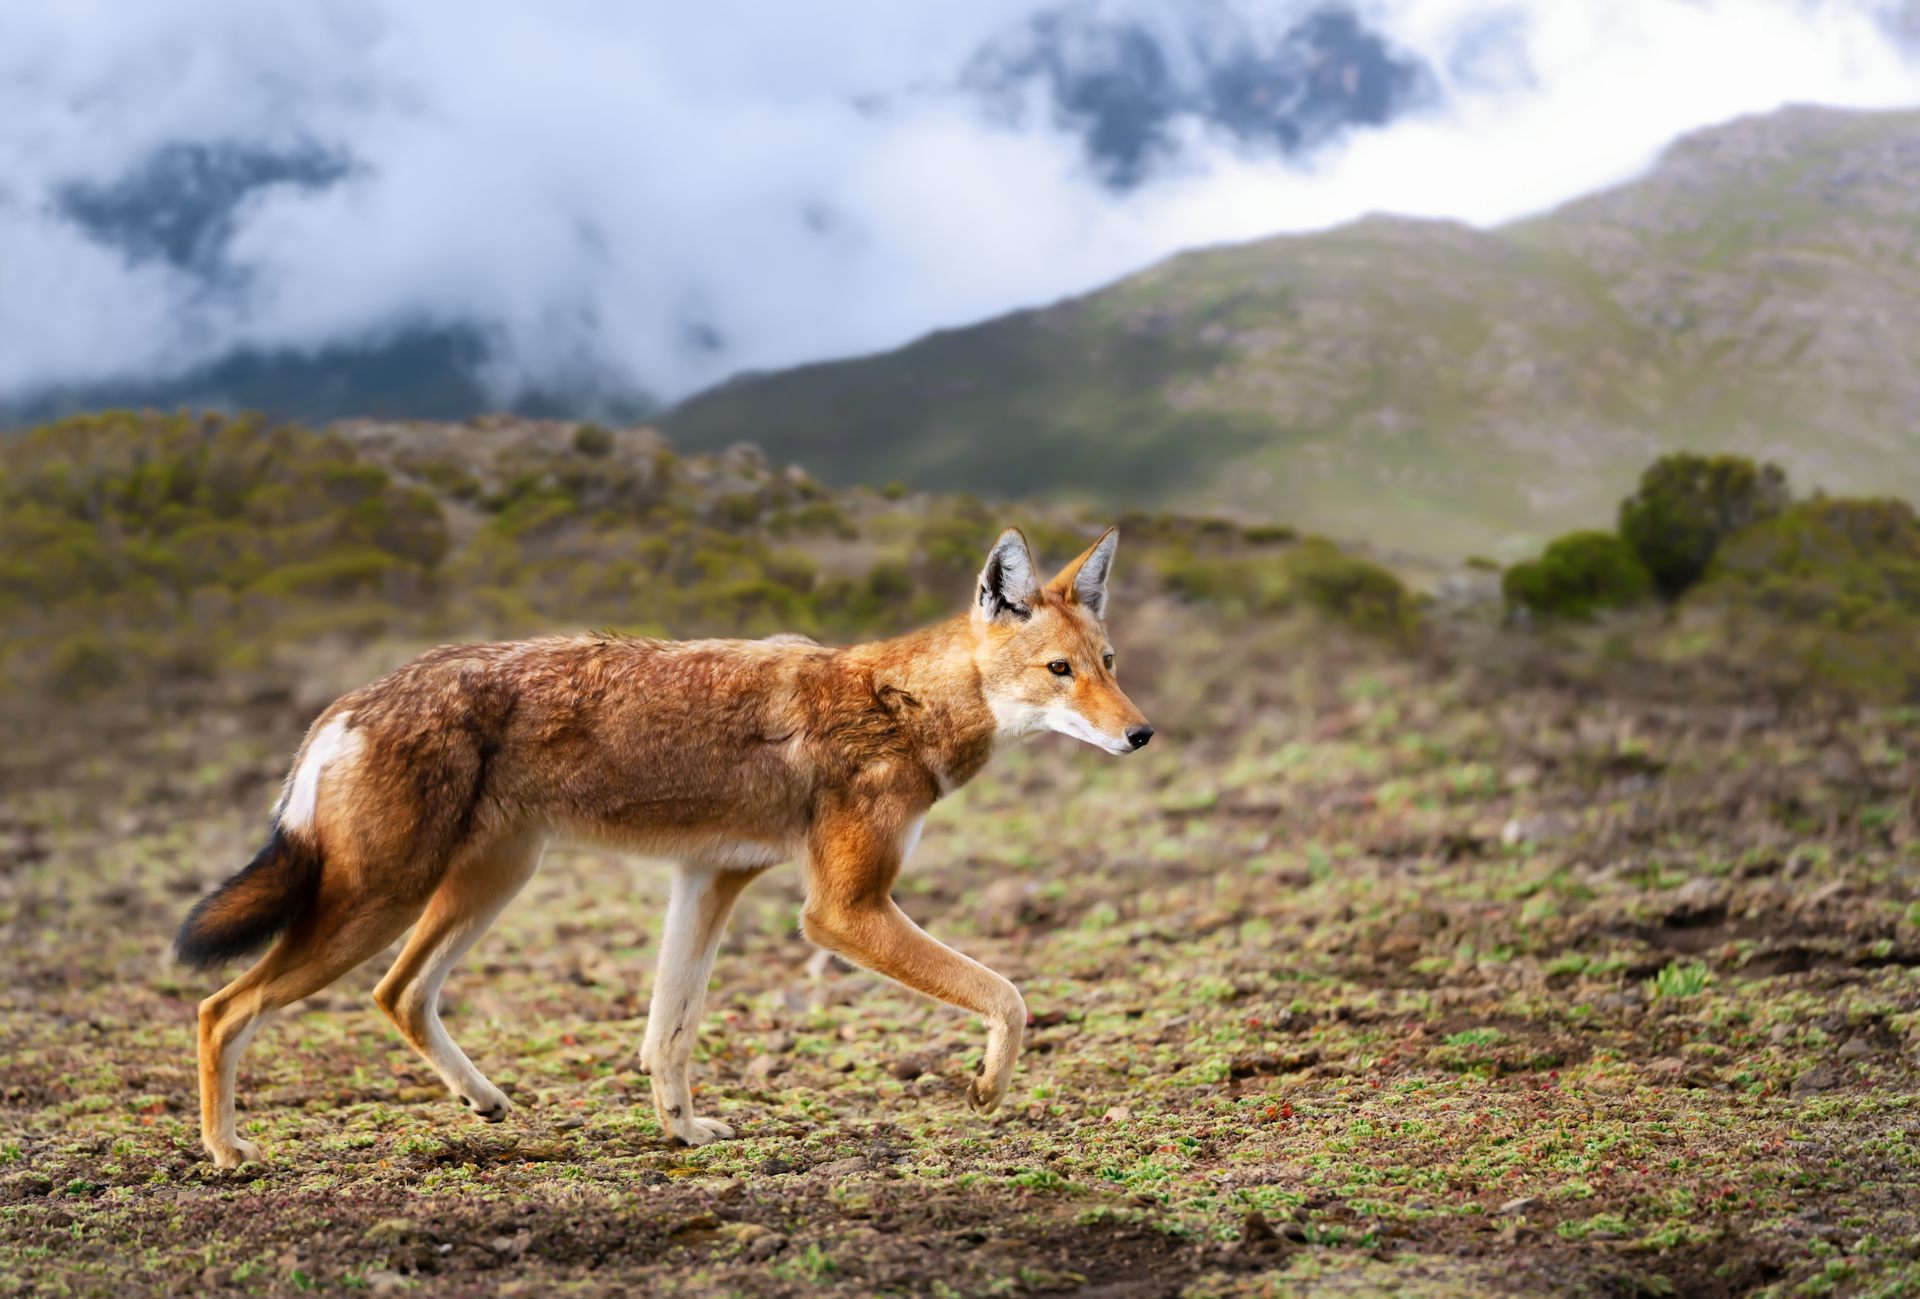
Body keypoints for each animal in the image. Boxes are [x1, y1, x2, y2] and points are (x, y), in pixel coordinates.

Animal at [176, 525, 1152, 1166]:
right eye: (1060, 671)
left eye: (1109, 662)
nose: (1141, 734)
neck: (899, 705)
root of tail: (346, 701)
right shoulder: (841, 911)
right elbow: (1009, 995)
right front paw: (986, 1087)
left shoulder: (709, 878)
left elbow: (667, 1033)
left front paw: (682, 1129)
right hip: (380, 902)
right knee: (223, 1007)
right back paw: (228, 1151)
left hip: (483, 886)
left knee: (399, 993)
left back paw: (483, 1100)